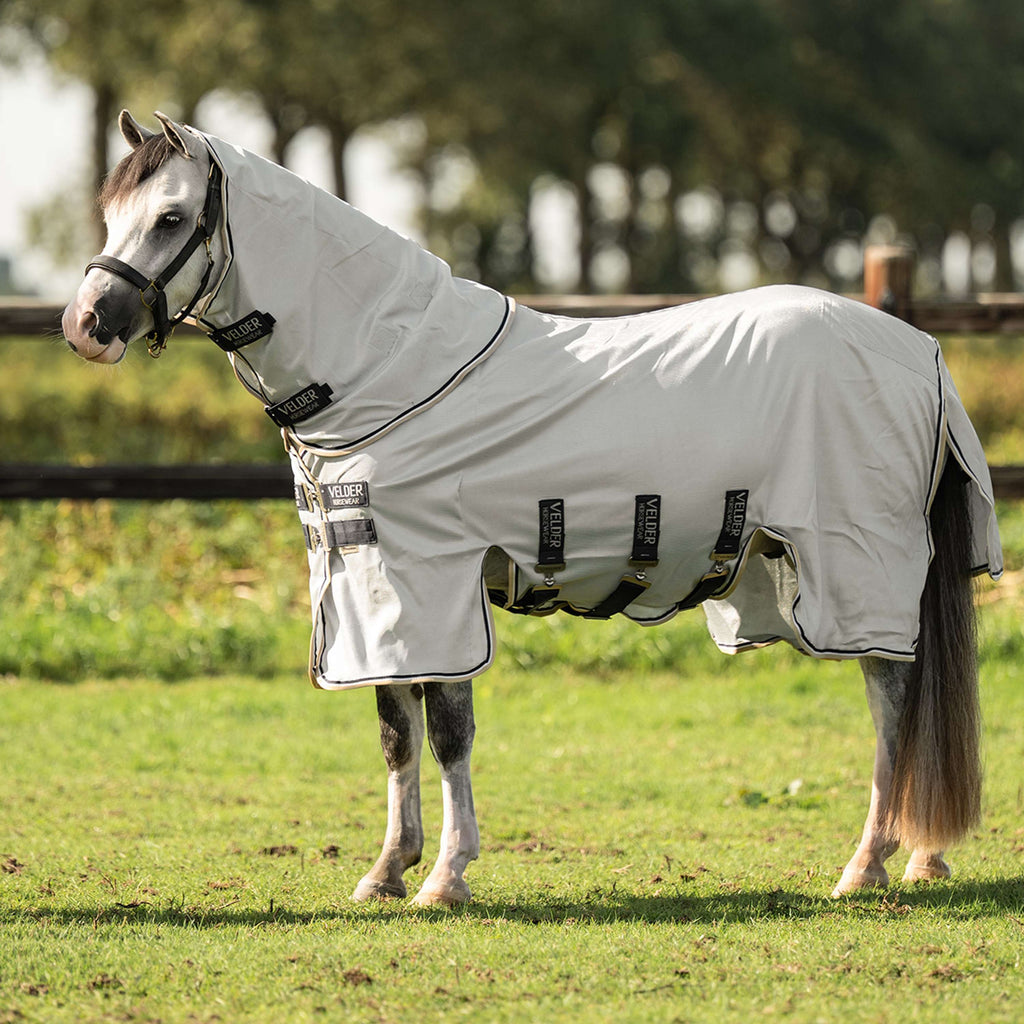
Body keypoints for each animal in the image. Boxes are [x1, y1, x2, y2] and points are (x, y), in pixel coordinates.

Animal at [63, 111, 1002, 906]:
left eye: (172, 217)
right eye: (111, 213)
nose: (85, 326)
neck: (385, 366)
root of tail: (918, 348)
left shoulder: (434, 581)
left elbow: (448, 731)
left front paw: (446, 877)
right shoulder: (372, 583)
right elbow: (396, 730)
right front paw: (386, 871)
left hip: (859, 570)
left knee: (893, 699)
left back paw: (867, 865)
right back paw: (920, 857)